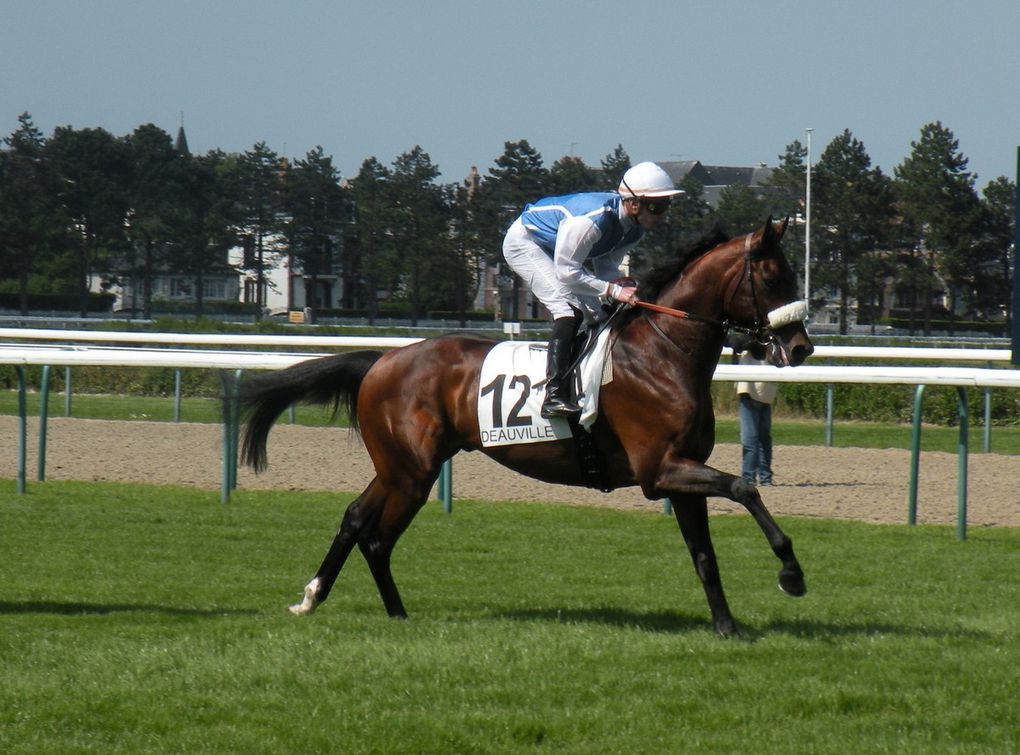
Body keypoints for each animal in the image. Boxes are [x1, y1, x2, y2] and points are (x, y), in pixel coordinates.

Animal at [238, 216, 811, 636]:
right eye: (774, 277)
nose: (802, 347)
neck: (662, 352)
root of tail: (382, 359)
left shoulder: (681, 473)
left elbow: (705, 554)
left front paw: (727, 627)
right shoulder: (661, 471)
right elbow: (744, 488)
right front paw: (791, 573)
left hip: (401, 467)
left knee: (357, 519)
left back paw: (321, 600)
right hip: (412, 471)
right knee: (376, 537)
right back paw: (383, 612)